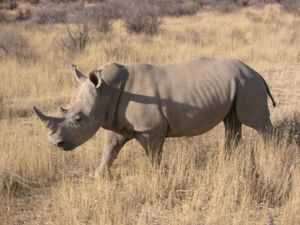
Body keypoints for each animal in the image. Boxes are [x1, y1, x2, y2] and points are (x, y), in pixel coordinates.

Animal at [33, 57, 276, 177]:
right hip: (238, 83)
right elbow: (109, 149)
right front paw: (97, 175)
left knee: (256, 123)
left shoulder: (149, 129)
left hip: (247, 83)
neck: (106, 92)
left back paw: (272, 156)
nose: (56, 143)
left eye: (78, 119)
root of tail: (255, 71)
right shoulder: (117, 122)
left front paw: (157, 176)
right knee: (232, 122)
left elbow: (153, 155)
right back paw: (227, 160)